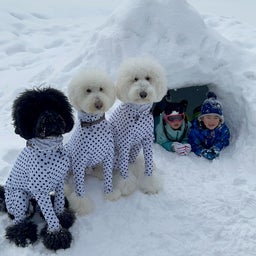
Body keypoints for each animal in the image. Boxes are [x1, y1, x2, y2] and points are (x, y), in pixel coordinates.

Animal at [65, 68, 121, 214]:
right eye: (88, 90)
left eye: (101, 89)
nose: (98, 104)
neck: (94, 124)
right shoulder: (79, 161)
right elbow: (79, 189)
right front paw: (82, 205)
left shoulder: (108, 156)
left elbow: (108, 177)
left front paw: (110, 194)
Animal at [109, 57, 168, 195]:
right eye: (135, 79)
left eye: (148, 78)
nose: (143, 93)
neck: (139, 112)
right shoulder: (125, 143)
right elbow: (124, 169)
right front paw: (125, 185)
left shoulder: (146, 140)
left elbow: (149, 165)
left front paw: (150, 184)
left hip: (135, 149)